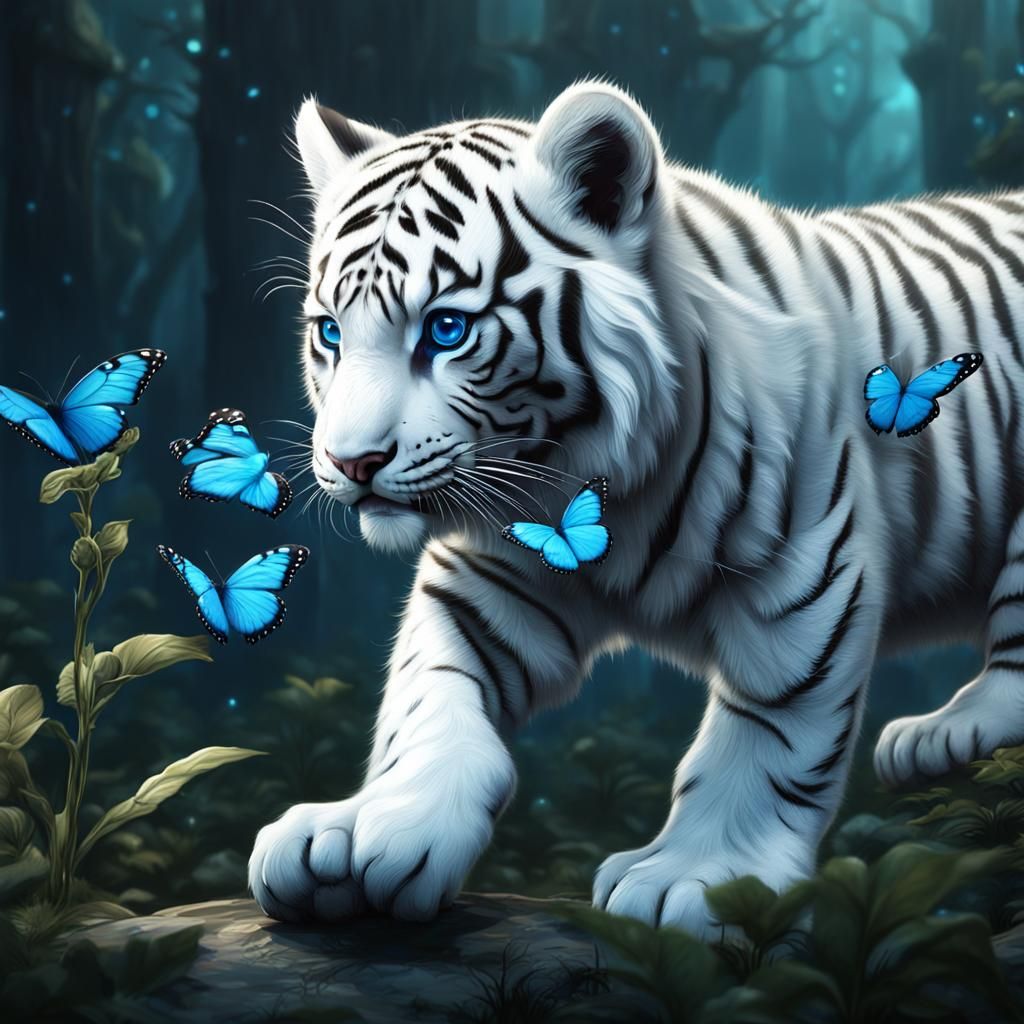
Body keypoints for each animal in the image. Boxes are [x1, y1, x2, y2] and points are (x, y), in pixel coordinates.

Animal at [248, 81, 1024, 936]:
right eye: (330, 333)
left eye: (446, 329)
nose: (351, 463)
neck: (575, 467)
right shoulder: (490, 580)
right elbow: (428, 692)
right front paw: (366, 828)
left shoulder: (804, 569)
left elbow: (769, 729)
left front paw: (701, 877)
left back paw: (941, 735)